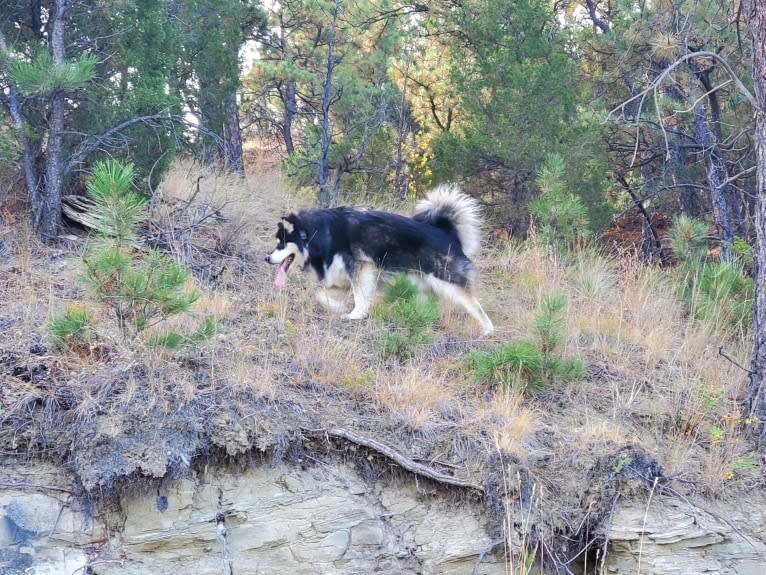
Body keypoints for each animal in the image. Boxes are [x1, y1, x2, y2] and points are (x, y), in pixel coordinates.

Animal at [268, 184, 498, 338]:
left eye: (282, 243)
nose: (266, 257)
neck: (316, 235)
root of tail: (448, 233)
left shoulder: (362, 267)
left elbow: (360, 295)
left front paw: (355, 315)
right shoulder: (339, 276)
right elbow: (320, 294)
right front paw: (338, 307)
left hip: (447, 282)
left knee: (474, 304)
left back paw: (488, 330)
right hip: (422, 283)